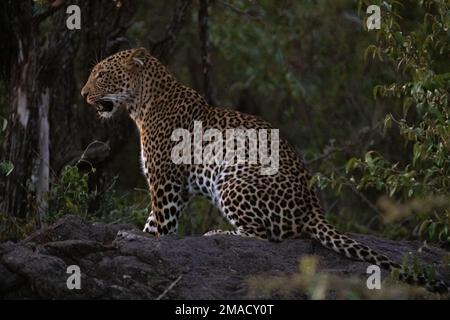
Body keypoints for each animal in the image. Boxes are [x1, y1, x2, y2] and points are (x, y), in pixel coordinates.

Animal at [81, 47, 446, 292]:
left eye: (101, 74)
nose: (83, 94)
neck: (141, 104)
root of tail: (313, 209)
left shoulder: (166, 183)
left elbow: (162, 228)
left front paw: (148, 241)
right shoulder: (175, 189)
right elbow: (151, 224)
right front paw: (136, 237)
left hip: (232, 181)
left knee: (265, 237)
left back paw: (218, 233)